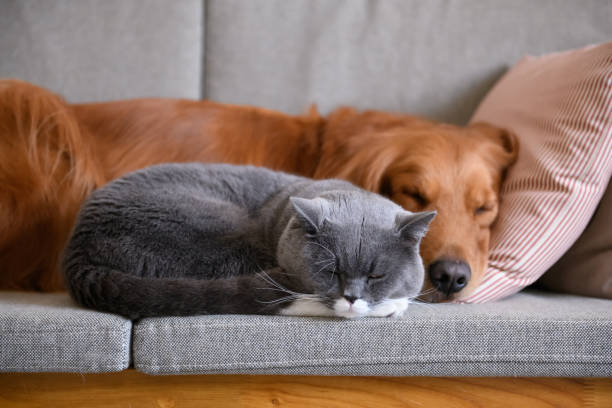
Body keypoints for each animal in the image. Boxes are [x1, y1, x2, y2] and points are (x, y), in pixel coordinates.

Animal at [63, 163, 436, 318]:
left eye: (376, 275)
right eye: (331, 272)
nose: (352, 297)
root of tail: (77, 252)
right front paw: (393, 304)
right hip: (220, 235)